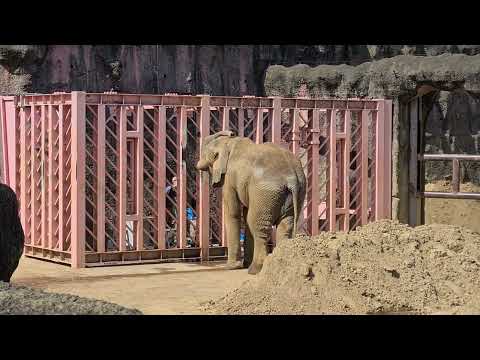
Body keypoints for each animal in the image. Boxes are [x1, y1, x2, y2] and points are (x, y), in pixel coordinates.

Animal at [196, 131, 306, 274]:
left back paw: (255, 270)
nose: (231, 132)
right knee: (285, 225)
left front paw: (231, 267)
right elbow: (245, 212)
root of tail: (291, 176)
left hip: (265, 192)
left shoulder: (229, 178)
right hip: (294, 191)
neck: (229, 144)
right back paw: (279, 267)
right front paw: (243, 264)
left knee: (258, 225)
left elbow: (233, 212)